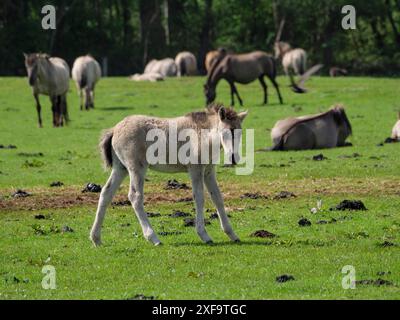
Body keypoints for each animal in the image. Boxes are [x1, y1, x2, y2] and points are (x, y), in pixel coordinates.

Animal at [90, 104, 247, 246]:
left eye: (240, 132)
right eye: (226, 131)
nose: (233, 158)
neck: (203, 134)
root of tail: (115, 129)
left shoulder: (208, 172)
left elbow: (218, 198)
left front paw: (232, 234)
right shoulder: (195, 170)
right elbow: (199, 198)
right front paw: (204, 235)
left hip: (120, 168)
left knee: (106, 193)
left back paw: (96, 238)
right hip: (137, 168)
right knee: (135, 196)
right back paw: (153, 238)